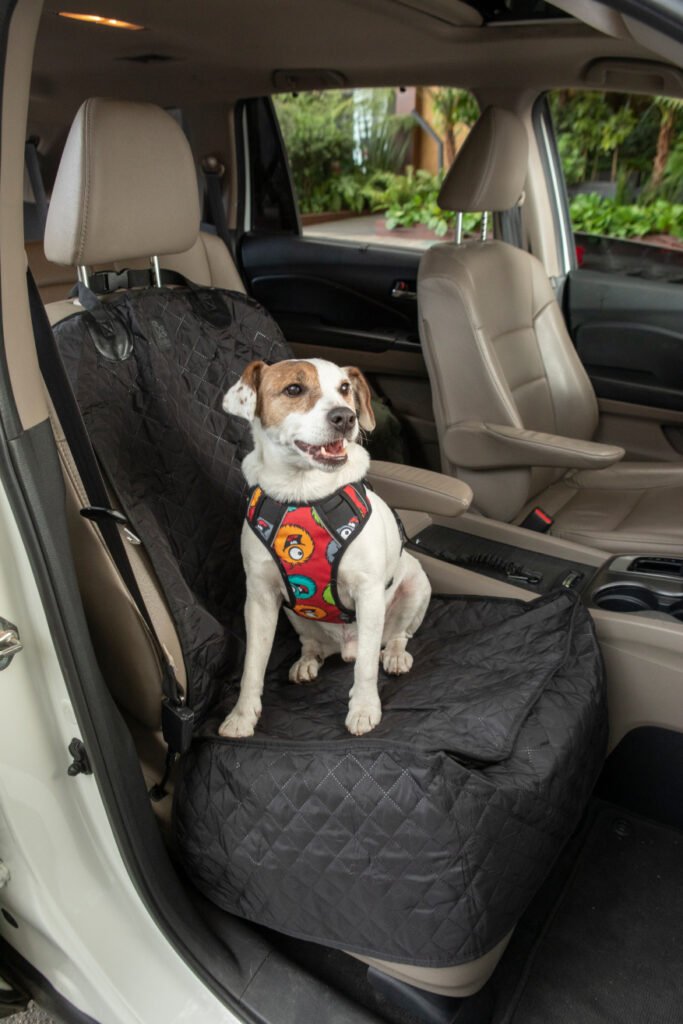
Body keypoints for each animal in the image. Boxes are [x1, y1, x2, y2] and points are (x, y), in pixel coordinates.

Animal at [219, 358, 432, 737]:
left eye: (345, 388)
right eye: (294, 389)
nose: (345, 417)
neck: (304, 493)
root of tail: (344, 648)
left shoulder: (368, 593)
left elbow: (366, 667)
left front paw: (364, 708)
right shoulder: (259, 598)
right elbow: (252, 666)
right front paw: (241, 717)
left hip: (416, 586)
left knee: (396, 636)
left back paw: (394, 655)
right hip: (294, 613)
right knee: (312, 644)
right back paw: (307, 661)